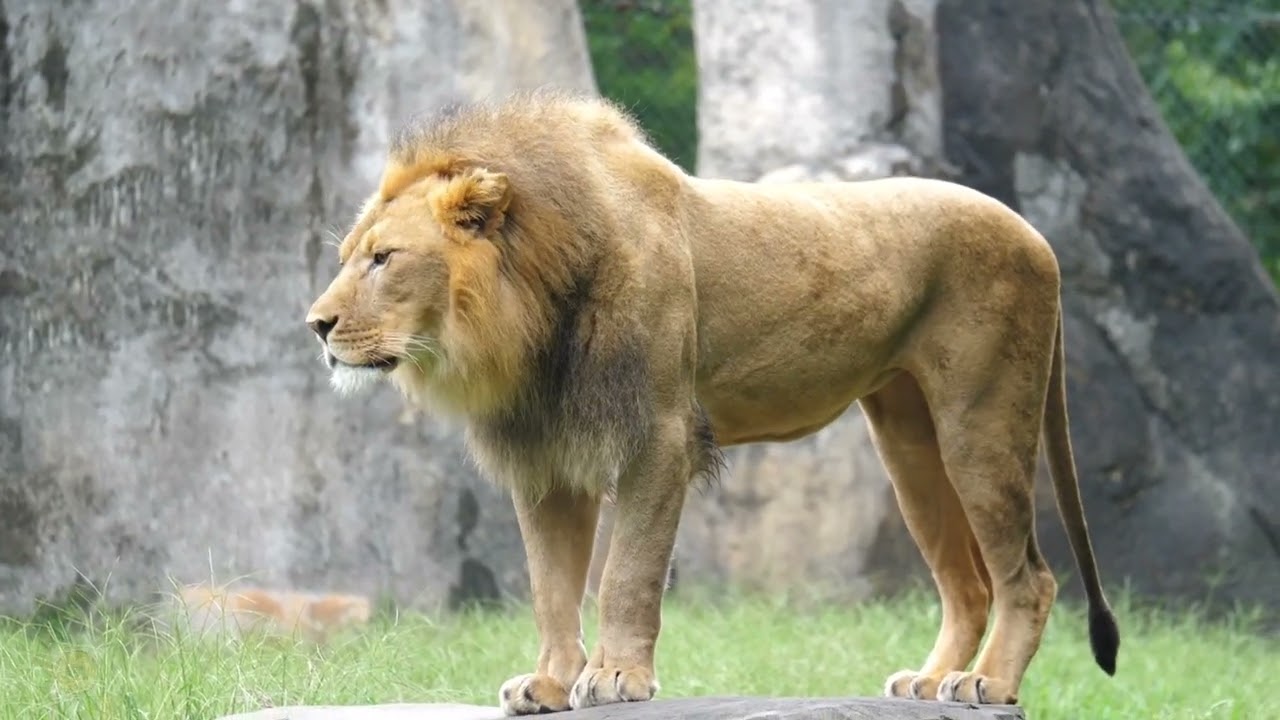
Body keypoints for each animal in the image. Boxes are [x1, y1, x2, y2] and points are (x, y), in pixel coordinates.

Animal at [304, 90, 1119, 713]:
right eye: (349, 257)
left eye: (384, 259)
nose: (316, 324)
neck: (535, 312)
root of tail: (1035, 234)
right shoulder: (547, 459)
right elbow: (551, 586)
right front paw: (550, 683)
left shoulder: (658, 438)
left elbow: (626, 572)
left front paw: (616, 676)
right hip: (910, 445)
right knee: (969, 582)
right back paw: (930, 678)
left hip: (982, 421)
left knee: (1029, 577)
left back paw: (988, 683)